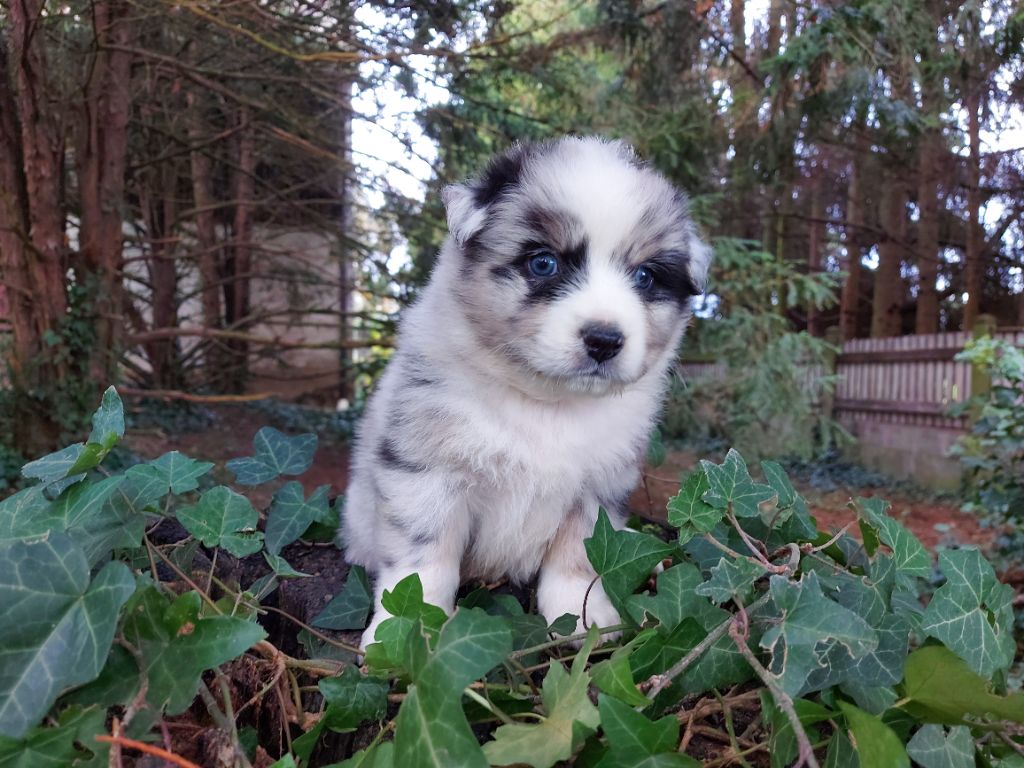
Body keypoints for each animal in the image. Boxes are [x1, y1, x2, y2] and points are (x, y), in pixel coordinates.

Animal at [342, 136, 711, 649]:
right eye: (543, 262)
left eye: (645, 277)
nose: (604, 340)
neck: (545, 401)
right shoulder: (427, 473)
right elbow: (422, 560)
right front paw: (407, 631)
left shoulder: (598, 488)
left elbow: (579, 557)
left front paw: (585, 620)